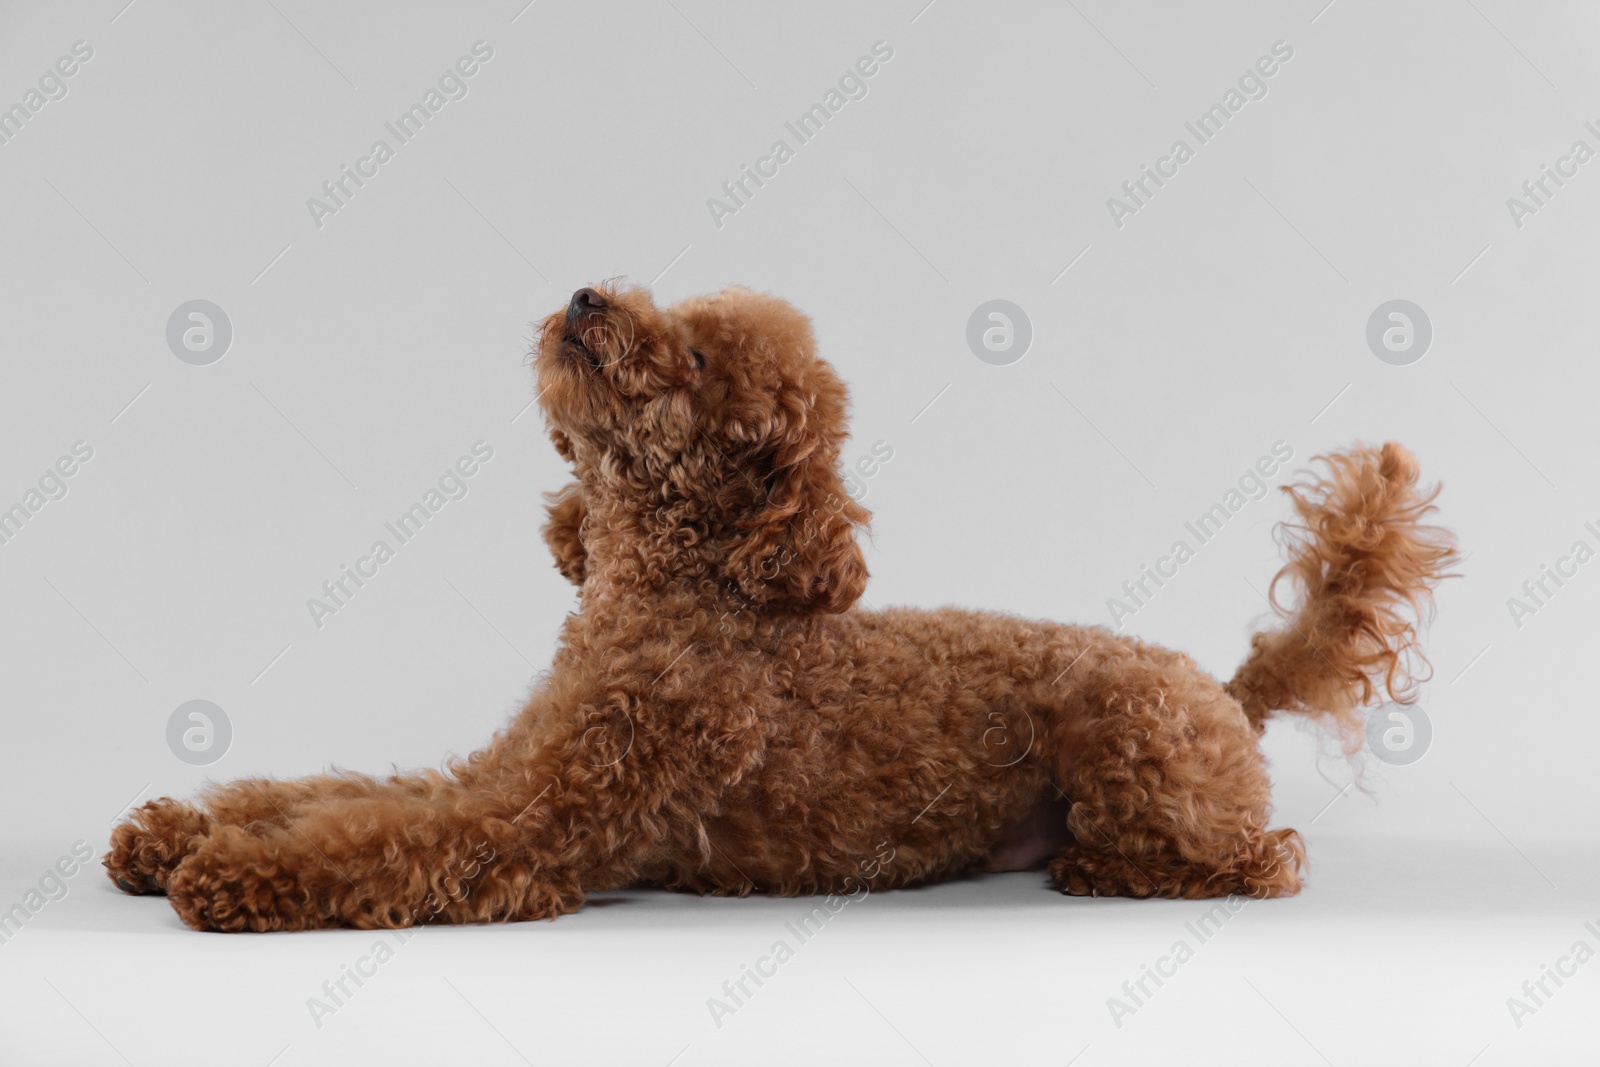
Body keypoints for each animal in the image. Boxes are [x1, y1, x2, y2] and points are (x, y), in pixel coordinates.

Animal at [106, 286, 1465, 934]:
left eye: (699, 359)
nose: (588, 297)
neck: (677, 591)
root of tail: (1226, 690)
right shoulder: (505, 767)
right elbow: (339, 792)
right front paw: (173, 828)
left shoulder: (538, 825)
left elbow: (380, 841)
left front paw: (227, 872)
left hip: (1131, 737)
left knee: (1262, 859)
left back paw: (1107, 869)